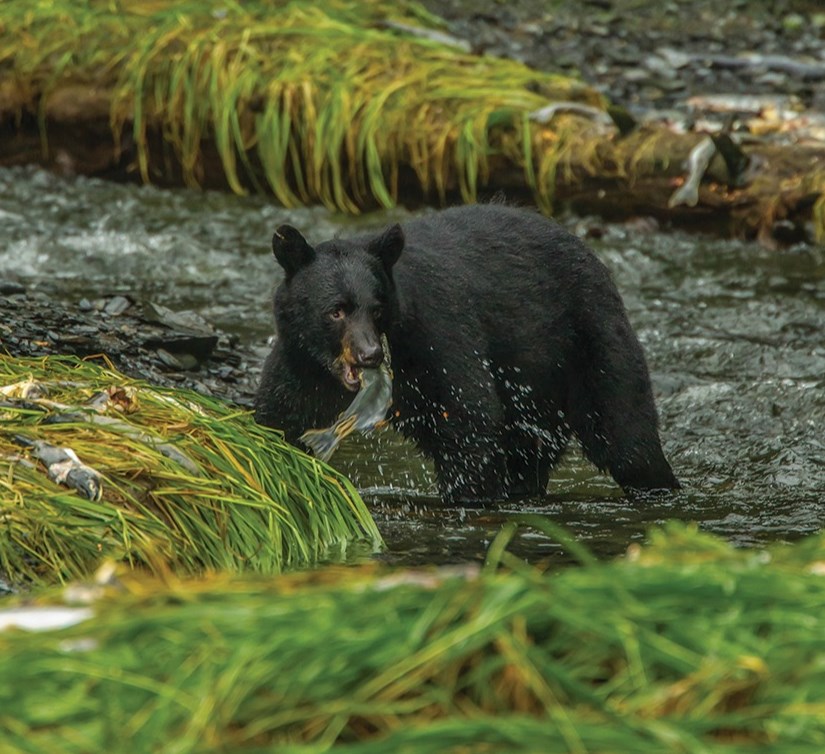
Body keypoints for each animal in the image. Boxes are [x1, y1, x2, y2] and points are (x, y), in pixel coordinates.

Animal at [256, 203, 676, 502]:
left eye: (377, 309)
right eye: (336, 311)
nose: (370, 354)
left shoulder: (436, 332)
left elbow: (468, 413)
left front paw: (468, 496)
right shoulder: (301, 359)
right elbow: (283, 413)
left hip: (590, 335)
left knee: (625, 430)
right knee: (531, 452)